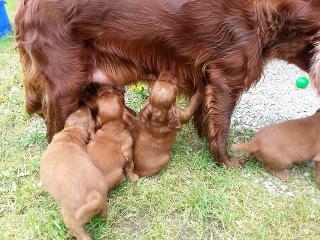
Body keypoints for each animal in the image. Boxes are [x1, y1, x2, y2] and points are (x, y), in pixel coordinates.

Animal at [15, 0, 320, 167]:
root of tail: (24, 6)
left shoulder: (207, 77)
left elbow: (205, 117)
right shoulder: (226, 78)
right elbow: (221, 127)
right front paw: (226, 162)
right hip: (67, 85)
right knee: (55, 134)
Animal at [40, 106, 106, 240]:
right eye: (77, 111)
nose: (84, 104)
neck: (72, 132)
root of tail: (93, 194)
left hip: (69, 218)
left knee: (81, 234)